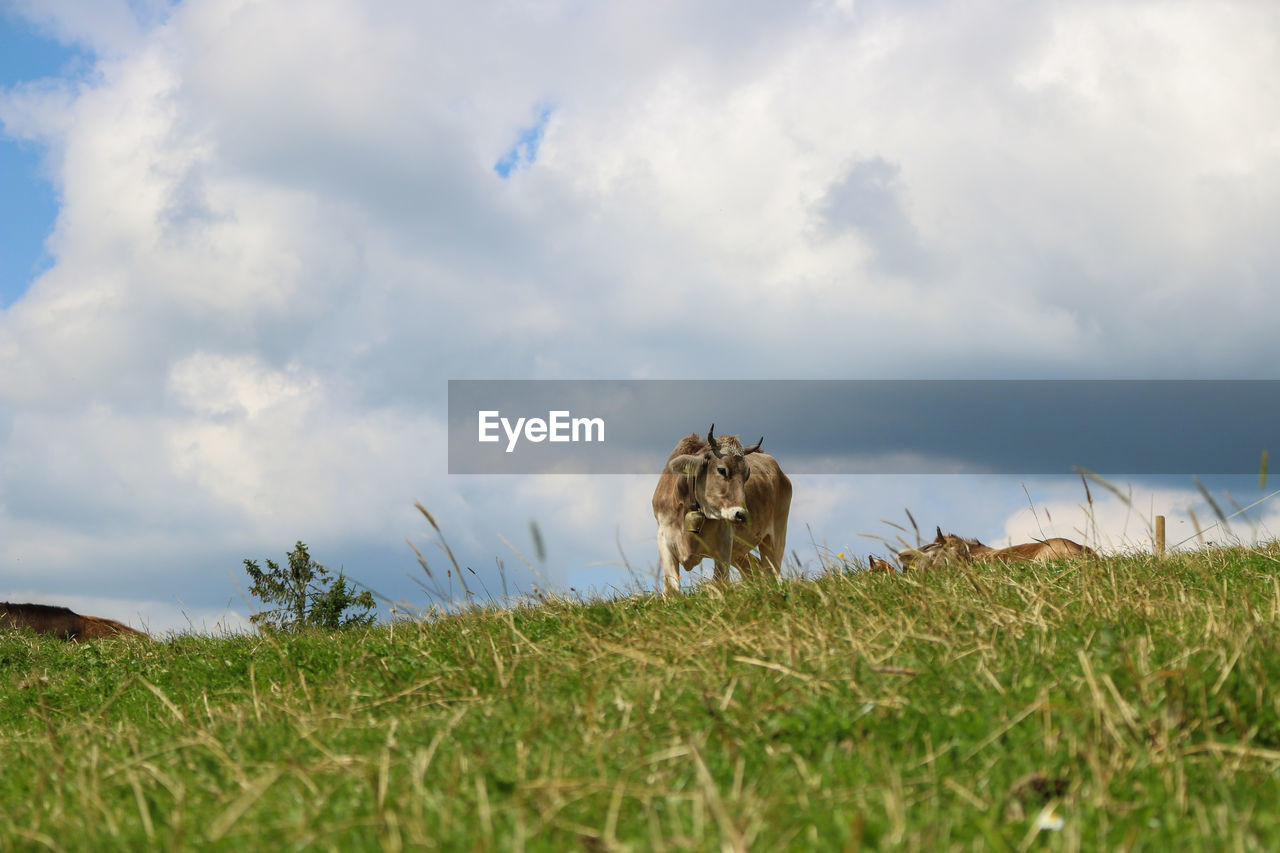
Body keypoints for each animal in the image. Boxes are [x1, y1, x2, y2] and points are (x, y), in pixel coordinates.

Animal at [650, 422, 788, 591]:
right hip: (740, 552)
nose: (741, 514)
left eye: (747, 474)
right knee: (753, 567)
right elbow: (672, 588)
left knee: (772, 573)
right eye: (722, 470)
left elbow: (719, 582)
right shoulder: (664, 539)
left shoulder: (724, 544)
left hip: (775, 538)